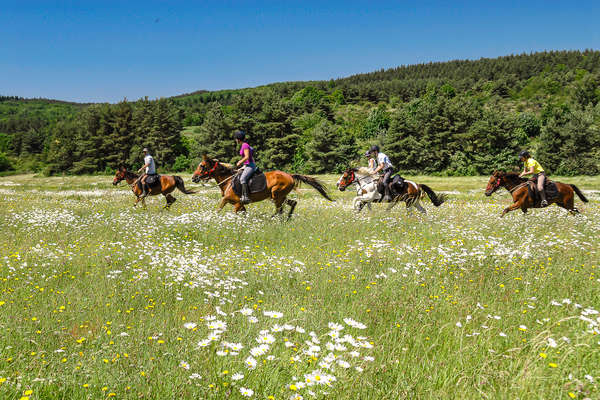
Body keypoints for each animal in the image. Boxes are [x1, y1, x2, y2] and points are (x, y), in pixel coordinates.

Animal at [192, 155, 332, 219]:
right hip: (279, 196)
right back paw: (286, 219)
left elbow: (220, 210)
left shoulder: (235, 203)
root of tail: (290, 175)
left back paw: (273, 218)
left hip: (276, 195)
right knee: (291, 204)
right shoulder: (240, 205)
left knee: (280, 209)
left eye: (202, 166)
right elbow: (242, 214)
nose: (194, 178)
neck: (228, 181)